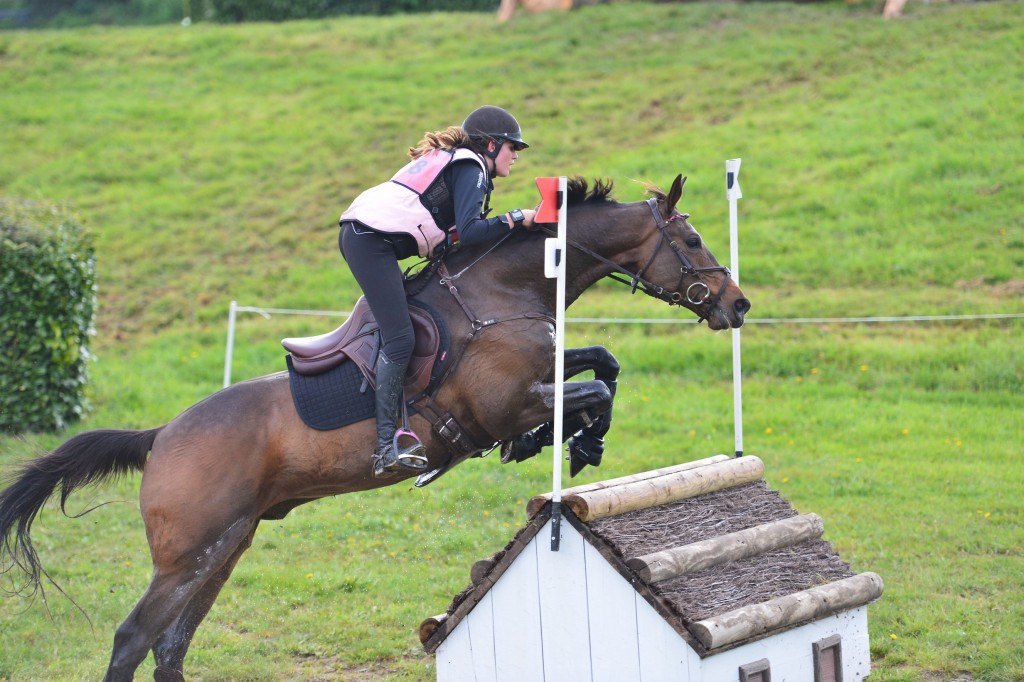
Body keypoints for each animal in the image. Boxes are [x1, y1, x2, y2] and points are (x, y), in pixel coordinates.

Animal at [2, 173, 753, 675]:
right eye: (692, 239)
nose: (738, 305)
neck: (505, 290)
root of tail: (160, 436)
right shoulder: (504, 402)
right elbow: (591, 386)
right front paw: (575, 441)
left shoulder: (542, 372)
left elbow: (603, 363)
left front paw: (565, 442)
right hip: (187, 551)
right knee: (134, 639)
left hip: (226, 544)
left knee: (169, 644)